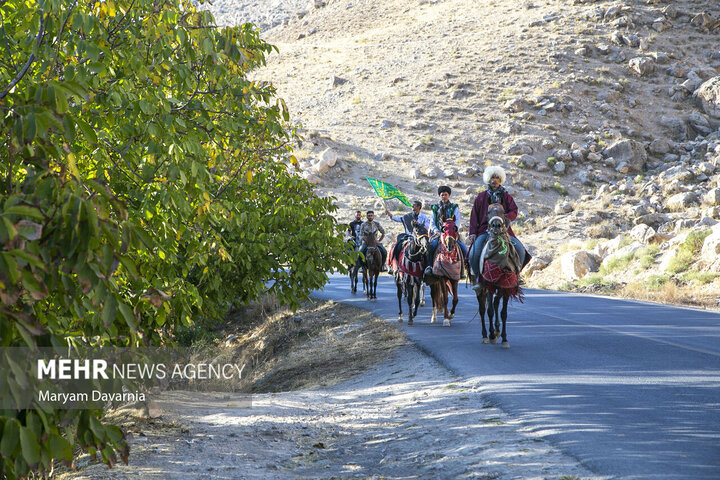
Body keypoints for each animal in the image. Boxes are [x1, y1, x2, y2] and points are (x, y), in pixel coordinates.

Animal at [478, 202, 524, 348]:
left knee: (496, 303)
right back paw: (485, 335)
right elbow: (490, 311)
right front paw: (492, 335)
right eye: (488, 212)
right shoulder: (488, 284)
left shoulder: (506, 286)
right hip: (480, 287)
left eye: (503, 212)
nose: (496, 226)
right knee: (482, 309)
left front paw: (504, 338)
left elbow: (503, 313)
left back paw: (497, 331)